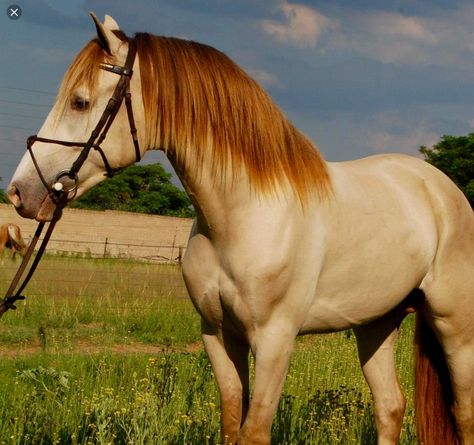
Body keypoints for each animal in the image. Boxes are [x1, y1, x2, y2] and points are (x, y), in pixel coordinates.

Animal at [5, 13, 472, 444]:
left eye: (80, 102)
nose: (20, 192)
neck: (243, 216)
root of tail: (442, 190)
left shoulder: (274, 342)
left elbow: (254, 430)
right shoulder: (219, 335)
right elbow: (232, 422)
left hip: (455, 328)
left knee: (463, 413)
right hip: (376, 322)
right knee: (390, 406)